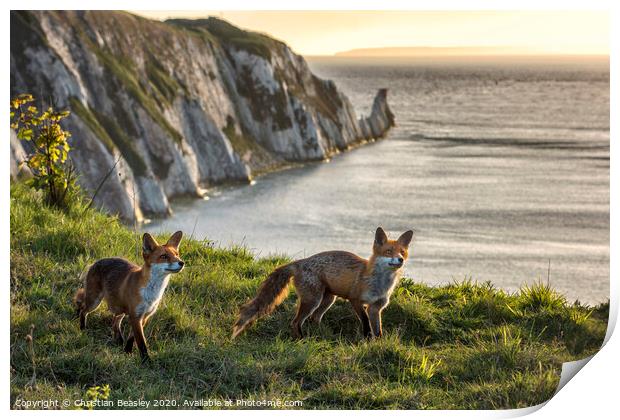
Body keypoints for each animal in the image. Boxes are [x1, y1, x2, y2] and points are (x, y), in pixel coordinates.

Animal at [73, 231, 184, 362]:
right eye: (164, 256)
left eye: (177, 255)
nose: (182, 262)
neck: (151, 294)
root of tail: (96, 262)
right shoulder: (135, 316)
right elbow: (141, 342)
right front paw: (146, 361)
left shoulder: (144, 316)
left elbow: (132, 338)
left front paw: (127, 351)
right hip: (94, 302)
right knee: (83, 310)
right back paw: (83, 328)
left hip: (120, 309)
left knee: (115, 322)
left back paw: (119, 341)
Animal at [231, 228, 412, 340]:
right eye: (388, 252)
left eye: (402, 252)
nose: (400, 260)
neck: (379, 283)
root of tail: (300, 262)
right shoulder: (355, 300)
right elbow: (366, 324)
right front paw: (367, 341)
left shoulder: (376, 307)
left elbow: (378, 329)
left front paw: (377, 343)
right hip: (313, 300)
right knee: (296, 322)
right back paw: (301, 340)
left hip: (327, 300)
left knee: (314, 318)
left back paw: (320, 335)